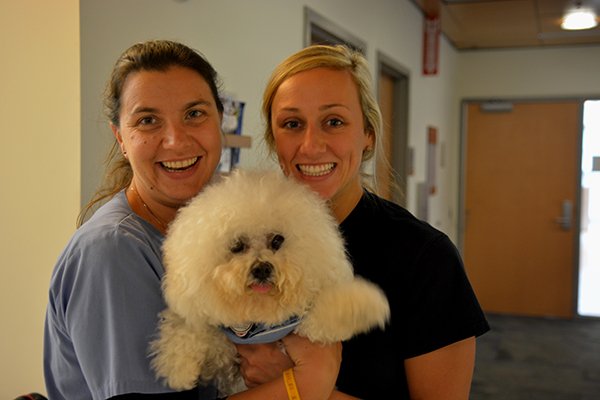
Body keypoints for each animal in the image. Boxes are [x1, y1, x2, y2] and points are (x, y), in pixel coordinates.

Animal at [151, 168, 390, 394]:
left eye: (277, 240)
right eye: (237, 245)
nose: (262, 269)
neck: (259, 326)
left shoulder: (304, 327)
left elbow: (325, 313)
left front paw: (366, 305)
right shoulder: (225, 351)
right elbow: (190, 330)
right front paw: (178, 368)